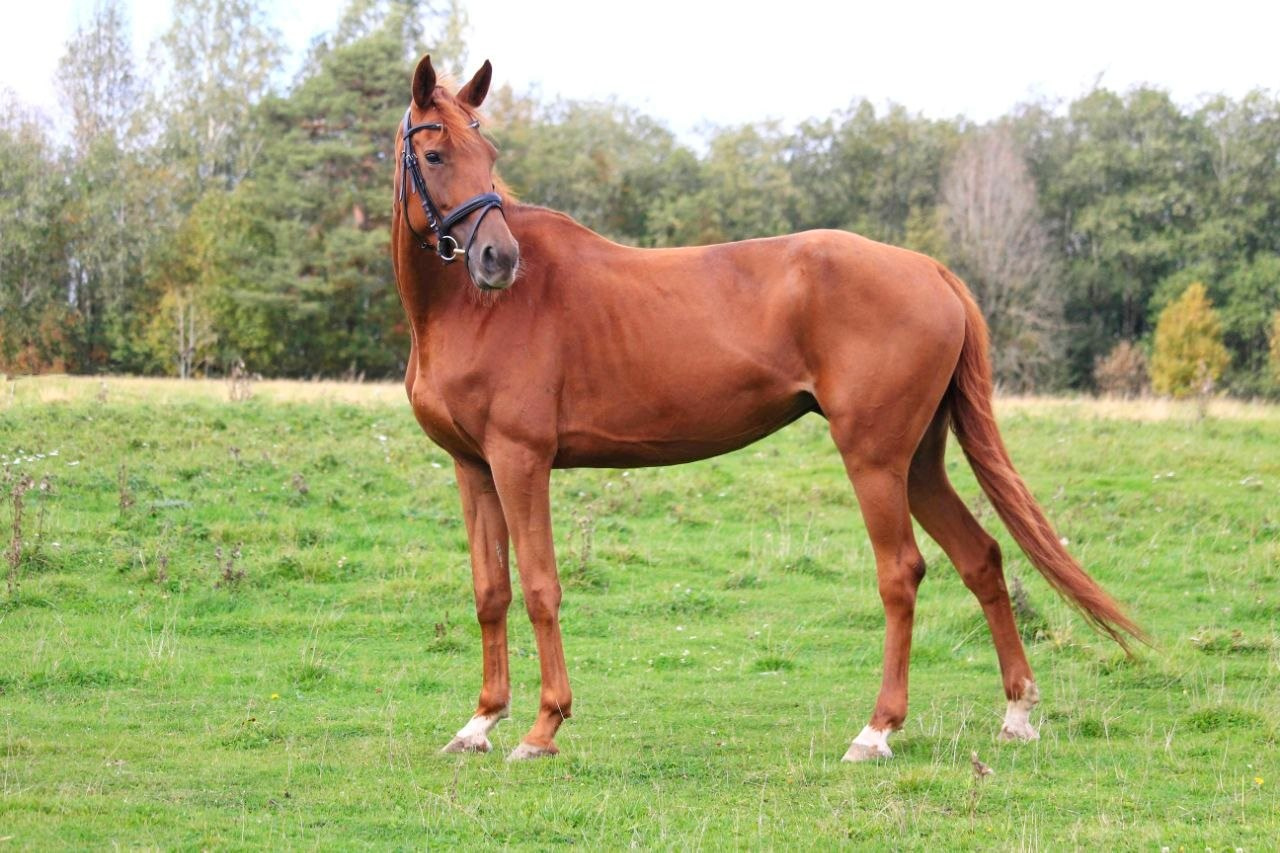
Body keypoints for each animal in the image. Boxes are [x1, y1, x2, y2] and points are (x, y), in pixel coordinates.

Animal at [391, 55, 1143, 762]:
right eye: (435, 155)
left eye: (489, 155)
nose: (498, 258)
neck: (472, 311)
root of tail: (930, 269)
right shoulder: (474, 467)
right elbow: (491, 590)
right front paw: (480, 722)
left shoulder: (522, 461)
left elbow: (541, 586)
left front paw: (544, 727)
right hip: (920, 463)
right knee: (982, 557)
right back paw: (1016, 712)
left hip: (875, 459)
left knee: (901, 573)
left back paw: (877, 730)